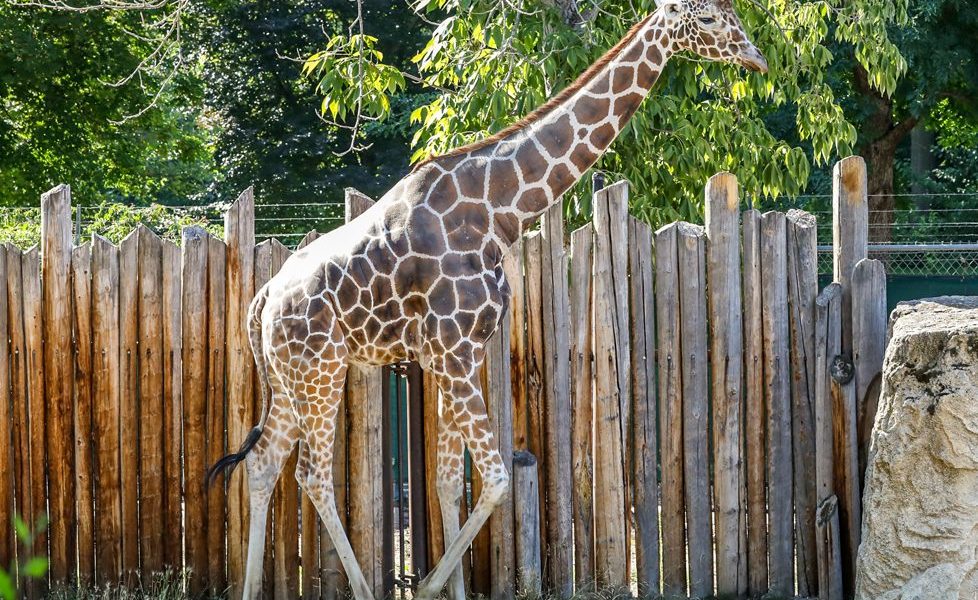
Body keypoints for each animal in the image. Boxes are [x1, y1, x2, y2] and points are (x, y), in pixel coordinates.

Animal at [208, 1, 767, 598]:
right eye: (706, 20)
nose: (755, 58)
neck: (499, 211)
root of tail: (264, 298)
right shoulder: (452, 352)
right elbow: (496, 478)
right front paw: (428, 586)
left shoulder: (458, 353)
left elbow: (449, 481)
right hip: (321, 369)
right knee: (311, 473)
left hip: (291, 376)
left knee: (263, 463)